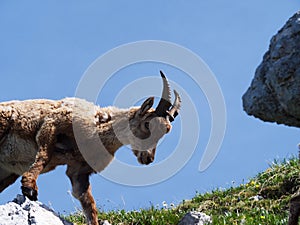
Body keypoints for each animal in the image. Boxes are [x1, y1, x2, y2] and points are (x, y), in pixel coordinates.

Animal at [0, 71, 180, 225]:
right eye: (147, 124)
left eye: (166, 130)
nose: (148, 158)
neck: (97, 128)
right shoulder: (52, 125)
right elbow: (43, 157)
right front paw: (30, 189)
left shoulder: (79, 170)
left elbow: (88, 203)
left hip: (7, 173)